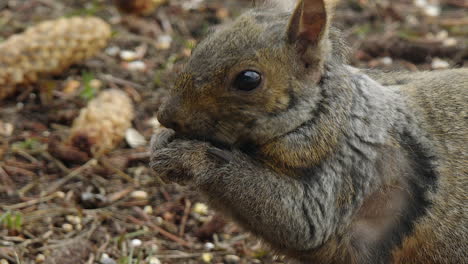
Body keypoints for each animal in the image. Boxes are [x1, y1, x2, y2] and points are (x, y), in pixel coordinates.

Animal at [149, 0, 468, 262]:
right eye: (201, 42)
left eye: (248, 79)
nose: (165, 116)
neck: (329, 118)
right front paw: (160, 141)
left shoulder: (349, 171)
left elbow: (301, 223)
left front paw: (190, 157)